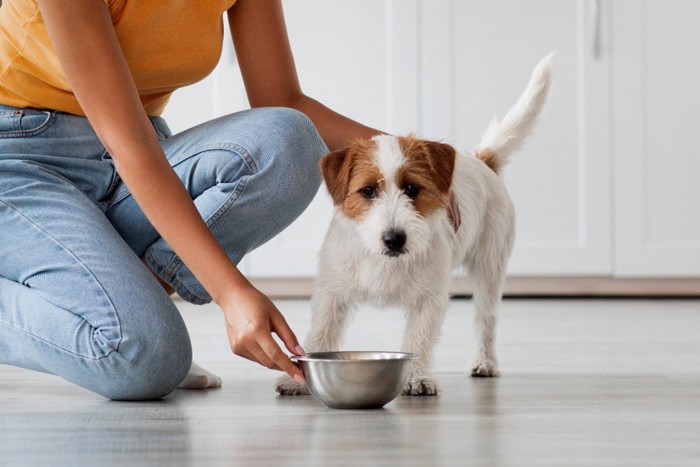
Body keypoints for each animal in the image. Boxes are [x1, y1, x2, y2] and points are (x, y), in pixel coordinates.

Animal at [276, 54, 548, 398]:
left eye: (412, 189)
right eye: (368, 191)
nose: (394, 239)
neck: (383, 260)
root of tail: (480, 160)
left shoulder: (429, 299)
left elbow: (419, 339)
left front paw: (416, 378)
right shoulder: (331, 294)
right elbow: (321, 333)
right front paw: (297, 378)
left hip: (490, 268)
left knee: (486, 318)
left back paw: (484, 362)